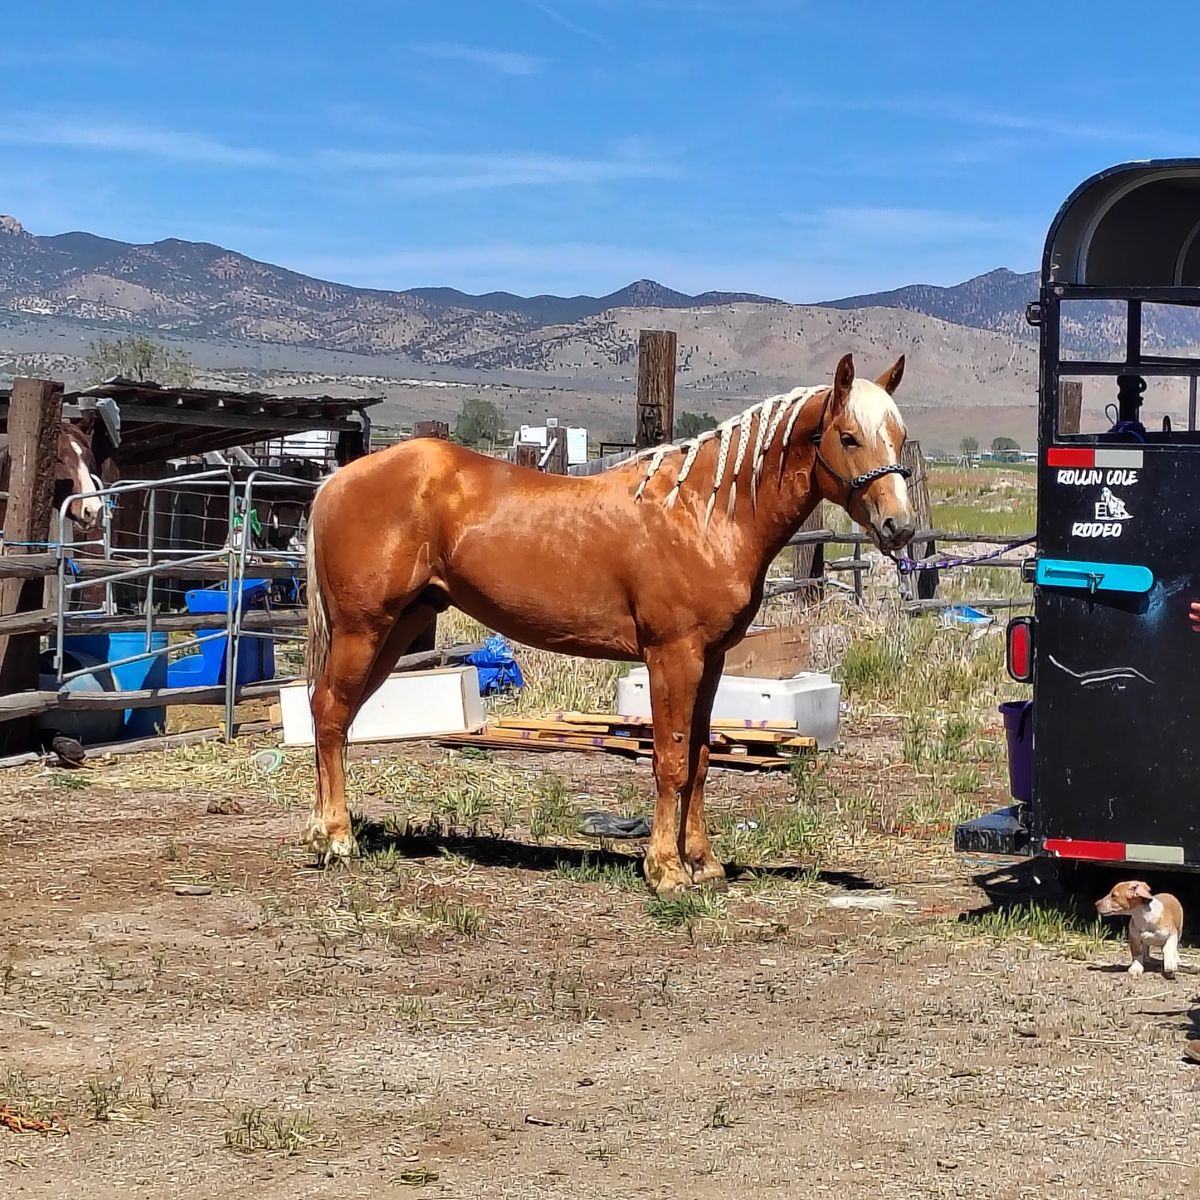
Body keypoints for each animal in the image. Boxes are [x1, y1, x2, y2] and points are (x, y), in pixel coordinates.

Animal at [303, 352, 916, 896]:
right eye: (849, 437)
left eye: (899, 434)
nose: (900, 526)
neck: (704, 513)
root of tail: (336, 481)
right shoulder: (673, 654)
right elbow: (671, 759)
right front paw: (667, 871)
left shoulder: (712, 659)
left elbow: (700, 758)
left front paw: (703, 863)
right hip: (364, 629)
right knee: (330, 714)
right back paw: (336, 839)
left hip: (397, 628)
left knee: (336, 715)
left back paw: (323, 829)